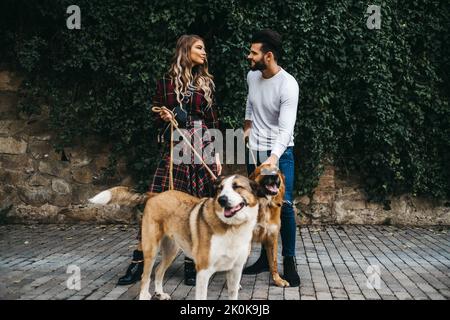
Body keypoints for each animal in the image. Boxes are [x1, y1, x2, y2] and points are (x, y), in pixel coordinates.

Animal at [88, 175, 262, 300]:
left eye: (237, 187)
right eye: (220, 189)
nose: (222, 199)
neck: (232, 228)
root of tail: (155, 194)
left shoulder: (235, 271)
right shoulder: (204, 271)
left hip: (172, 250)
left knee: (159, 270)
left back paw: (160, 293)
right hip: (151, 248)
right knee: (145, 276)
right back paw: (145, 295)